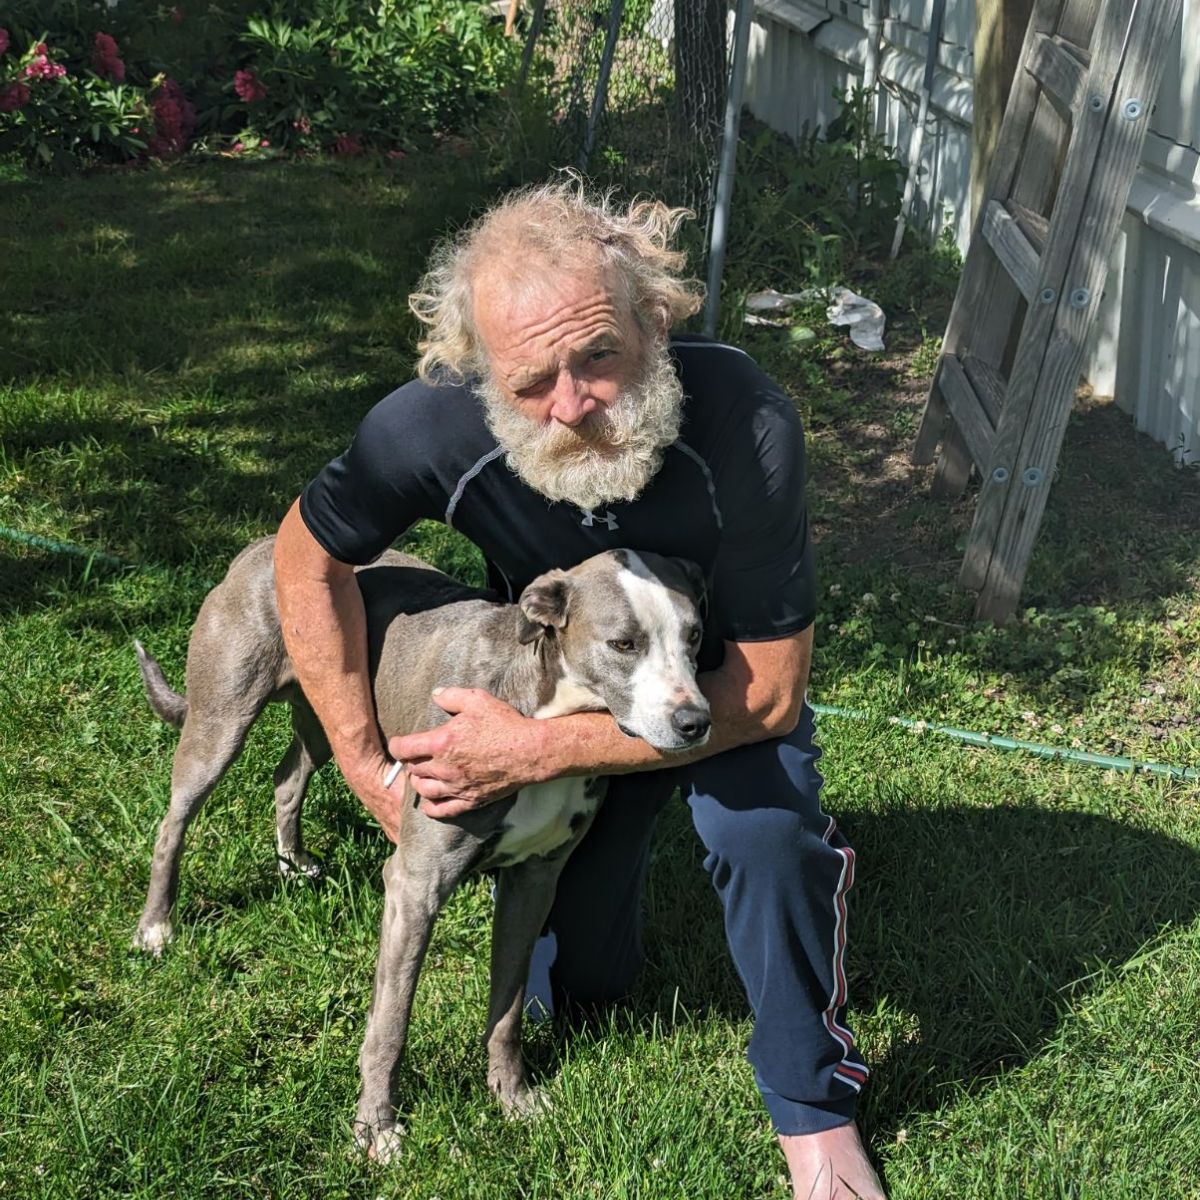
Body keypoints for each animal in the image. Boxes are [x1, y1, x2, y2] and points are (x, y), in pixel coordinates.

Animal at [131, 540, 705, 1156]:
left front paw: (513, 1099)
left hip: (326, 711)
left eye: (695, 635)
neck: (537, 715)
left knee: (288, 778)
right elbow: (391, 1022)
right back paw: (156, 927)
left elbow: (507, 1009)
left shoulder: (533, 881)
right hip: (221, 721)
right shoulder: (415, 887)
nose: (696, 721)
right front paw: (376, 1129)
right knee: (173, 823)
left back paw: (292, 863)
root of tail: (258, 547)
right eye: (623, 643)